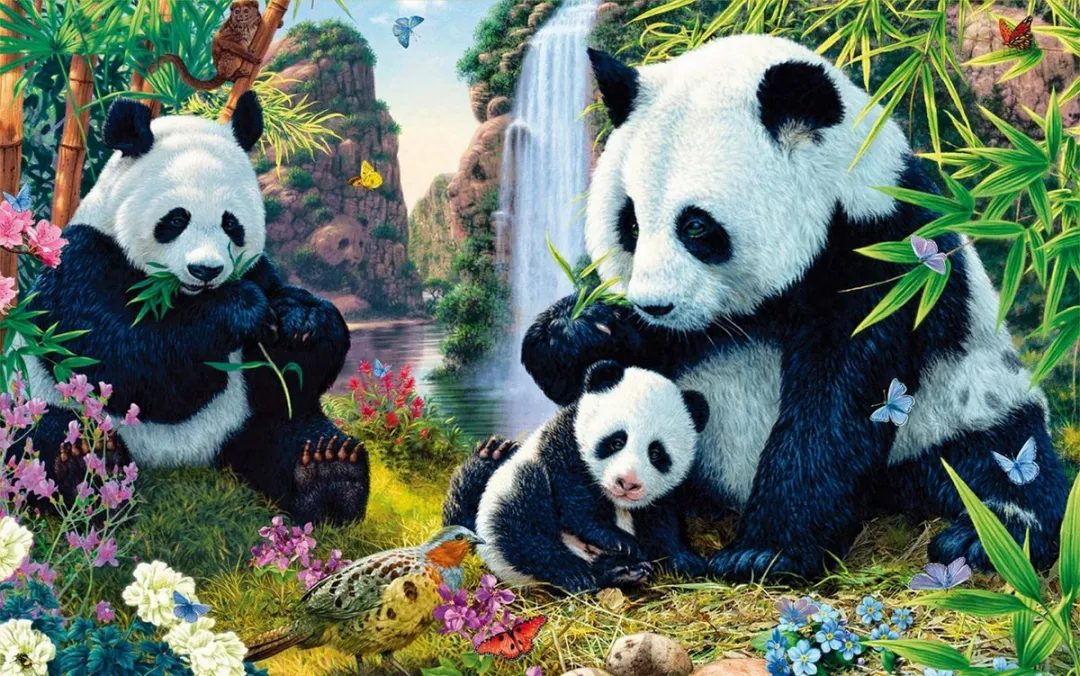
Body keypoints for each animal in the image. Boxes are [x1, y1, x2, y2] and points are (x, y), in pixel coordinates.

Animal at [20, 93, 369, 524]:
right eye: (176, 219)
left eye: (230, 224)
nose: (206, 270)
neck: (183, 297)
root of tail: (190, 460)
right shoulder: (80, 265)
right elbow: (125, 362)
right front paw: (239, 309)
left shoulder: (257, 268)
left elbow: (290, 376)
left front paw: (300, 321)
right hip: (39, 403)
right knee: (42, 436)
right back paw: (81, 468)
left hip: (241, 421)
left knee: (285, 427)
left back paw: (327, 475)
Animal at [443, 361, 710, 592]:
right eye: (617, 441)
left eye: (656, 453)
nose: (627, 483)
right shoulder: (565, 443)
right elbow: (574, 503)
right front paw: (618, 540)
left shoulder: (662, 495)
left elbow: (662, 521)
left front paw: (685, 560)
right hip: (508, 497)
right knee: (523, 522)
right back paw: (576, 573)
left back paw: (621, 571)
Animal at [521, 35, 1071, 580]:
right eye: (630, 223)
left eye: (696, 226)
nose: (654, 305)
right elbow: (606, 376)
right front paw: (580, 327)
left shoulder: (887, 256)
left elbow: (837, 398)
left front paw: (763, 553)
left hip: (964, 403)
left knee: (1000, 463)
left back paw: (986, 536)